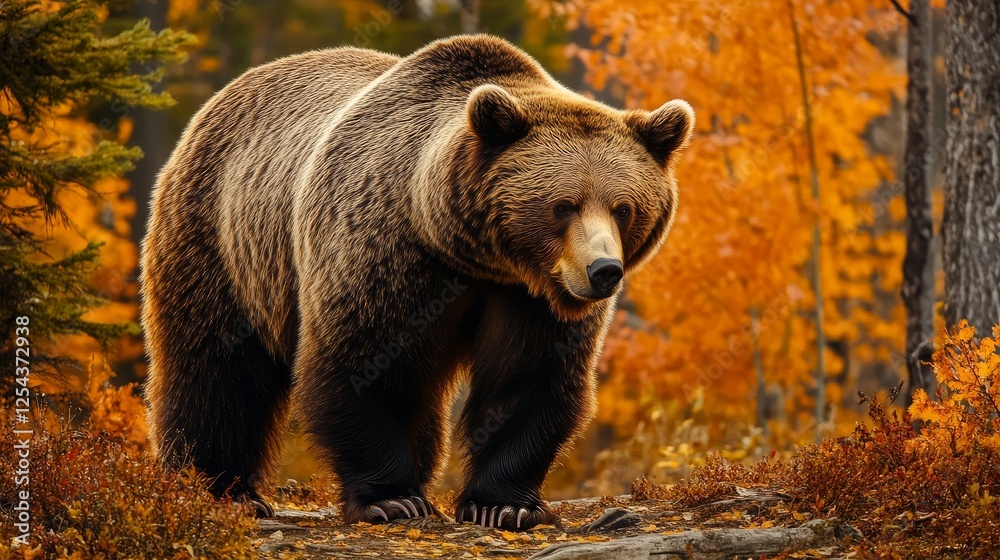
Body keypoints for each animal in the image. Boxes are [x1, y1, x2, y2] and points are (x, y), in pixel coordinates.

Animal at [141, 35, 694, 531]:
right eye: (563, 205)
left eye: (623, 208)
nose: (603, 270)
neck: (470, 251)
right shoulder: (386, 254)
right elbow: (362, 364)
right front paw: (392, 499)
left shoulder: (527, 298)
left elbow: (527, 380)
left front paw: (504, 506)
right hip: (223, 242)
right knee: (216, 368)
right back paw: (219, 488)